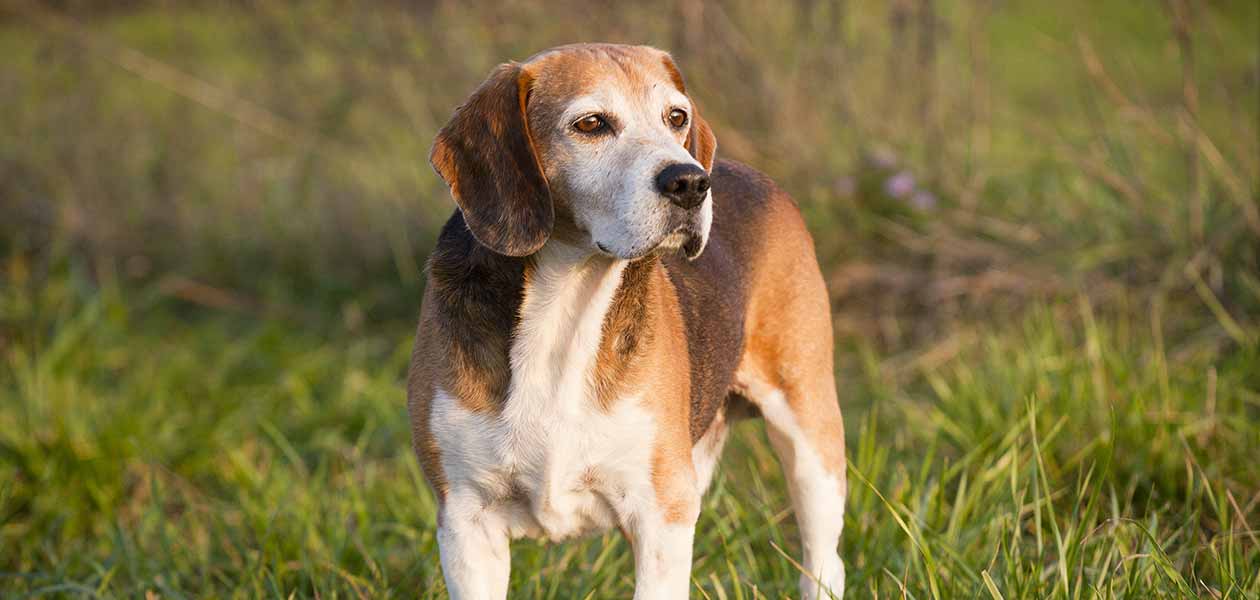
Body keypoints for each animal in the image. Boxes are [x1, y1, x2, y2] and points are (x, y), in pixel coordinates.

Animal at [410, 44, 846, 597]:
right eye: (591, 123)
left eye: (676, 117)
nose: (691, 182)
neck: (565, 307)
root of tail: (751, 175)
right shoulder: (466, 522)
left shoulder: (661, 515)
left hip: (810, 436)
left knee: (823, 561)